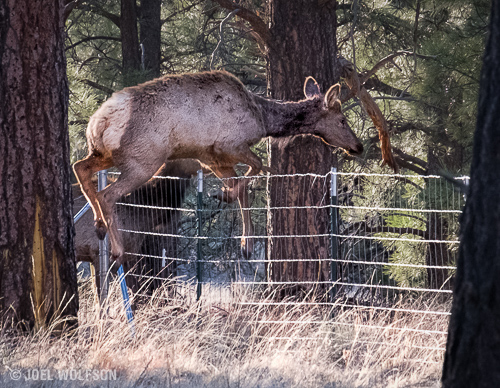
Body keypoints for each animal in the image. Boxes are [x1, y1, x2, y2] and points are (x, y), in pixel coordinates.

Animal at [73, 69, 364, 264]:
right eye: (342, 119)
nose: (358, 146)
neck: (262, 118)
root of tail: (98, 122)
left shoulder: (211, 157)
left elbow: (242, 188)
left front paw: (246, 245)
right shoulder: (229, 145)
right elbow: (255, 170)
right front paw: (224, 196)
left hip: (104, 153)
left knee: (80, 167)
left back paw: (98, 225)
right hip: (143, 160)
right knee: (107, 193)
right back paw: (117, 249)